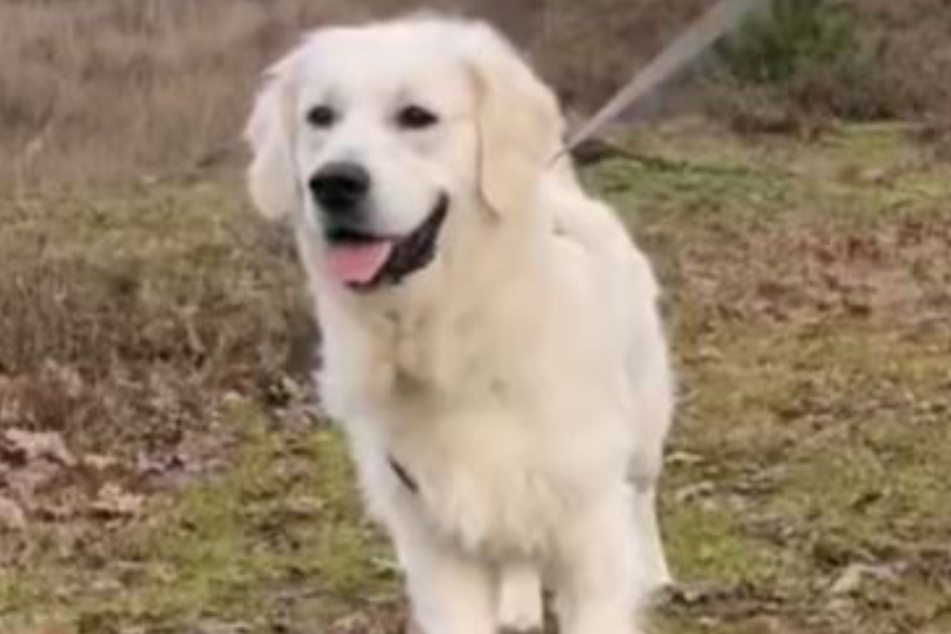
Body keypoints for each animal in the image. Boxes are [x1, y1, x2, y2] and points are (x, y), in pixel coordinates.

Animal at [245, 14, 676, 632]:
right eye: (320, 117)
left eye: (416, 116)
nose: (333, 183)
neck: (451, 334)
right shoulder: (435, 540)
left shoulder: (590, 534)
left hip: (643, 432)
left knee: (643, 495)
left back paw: (656, 569)